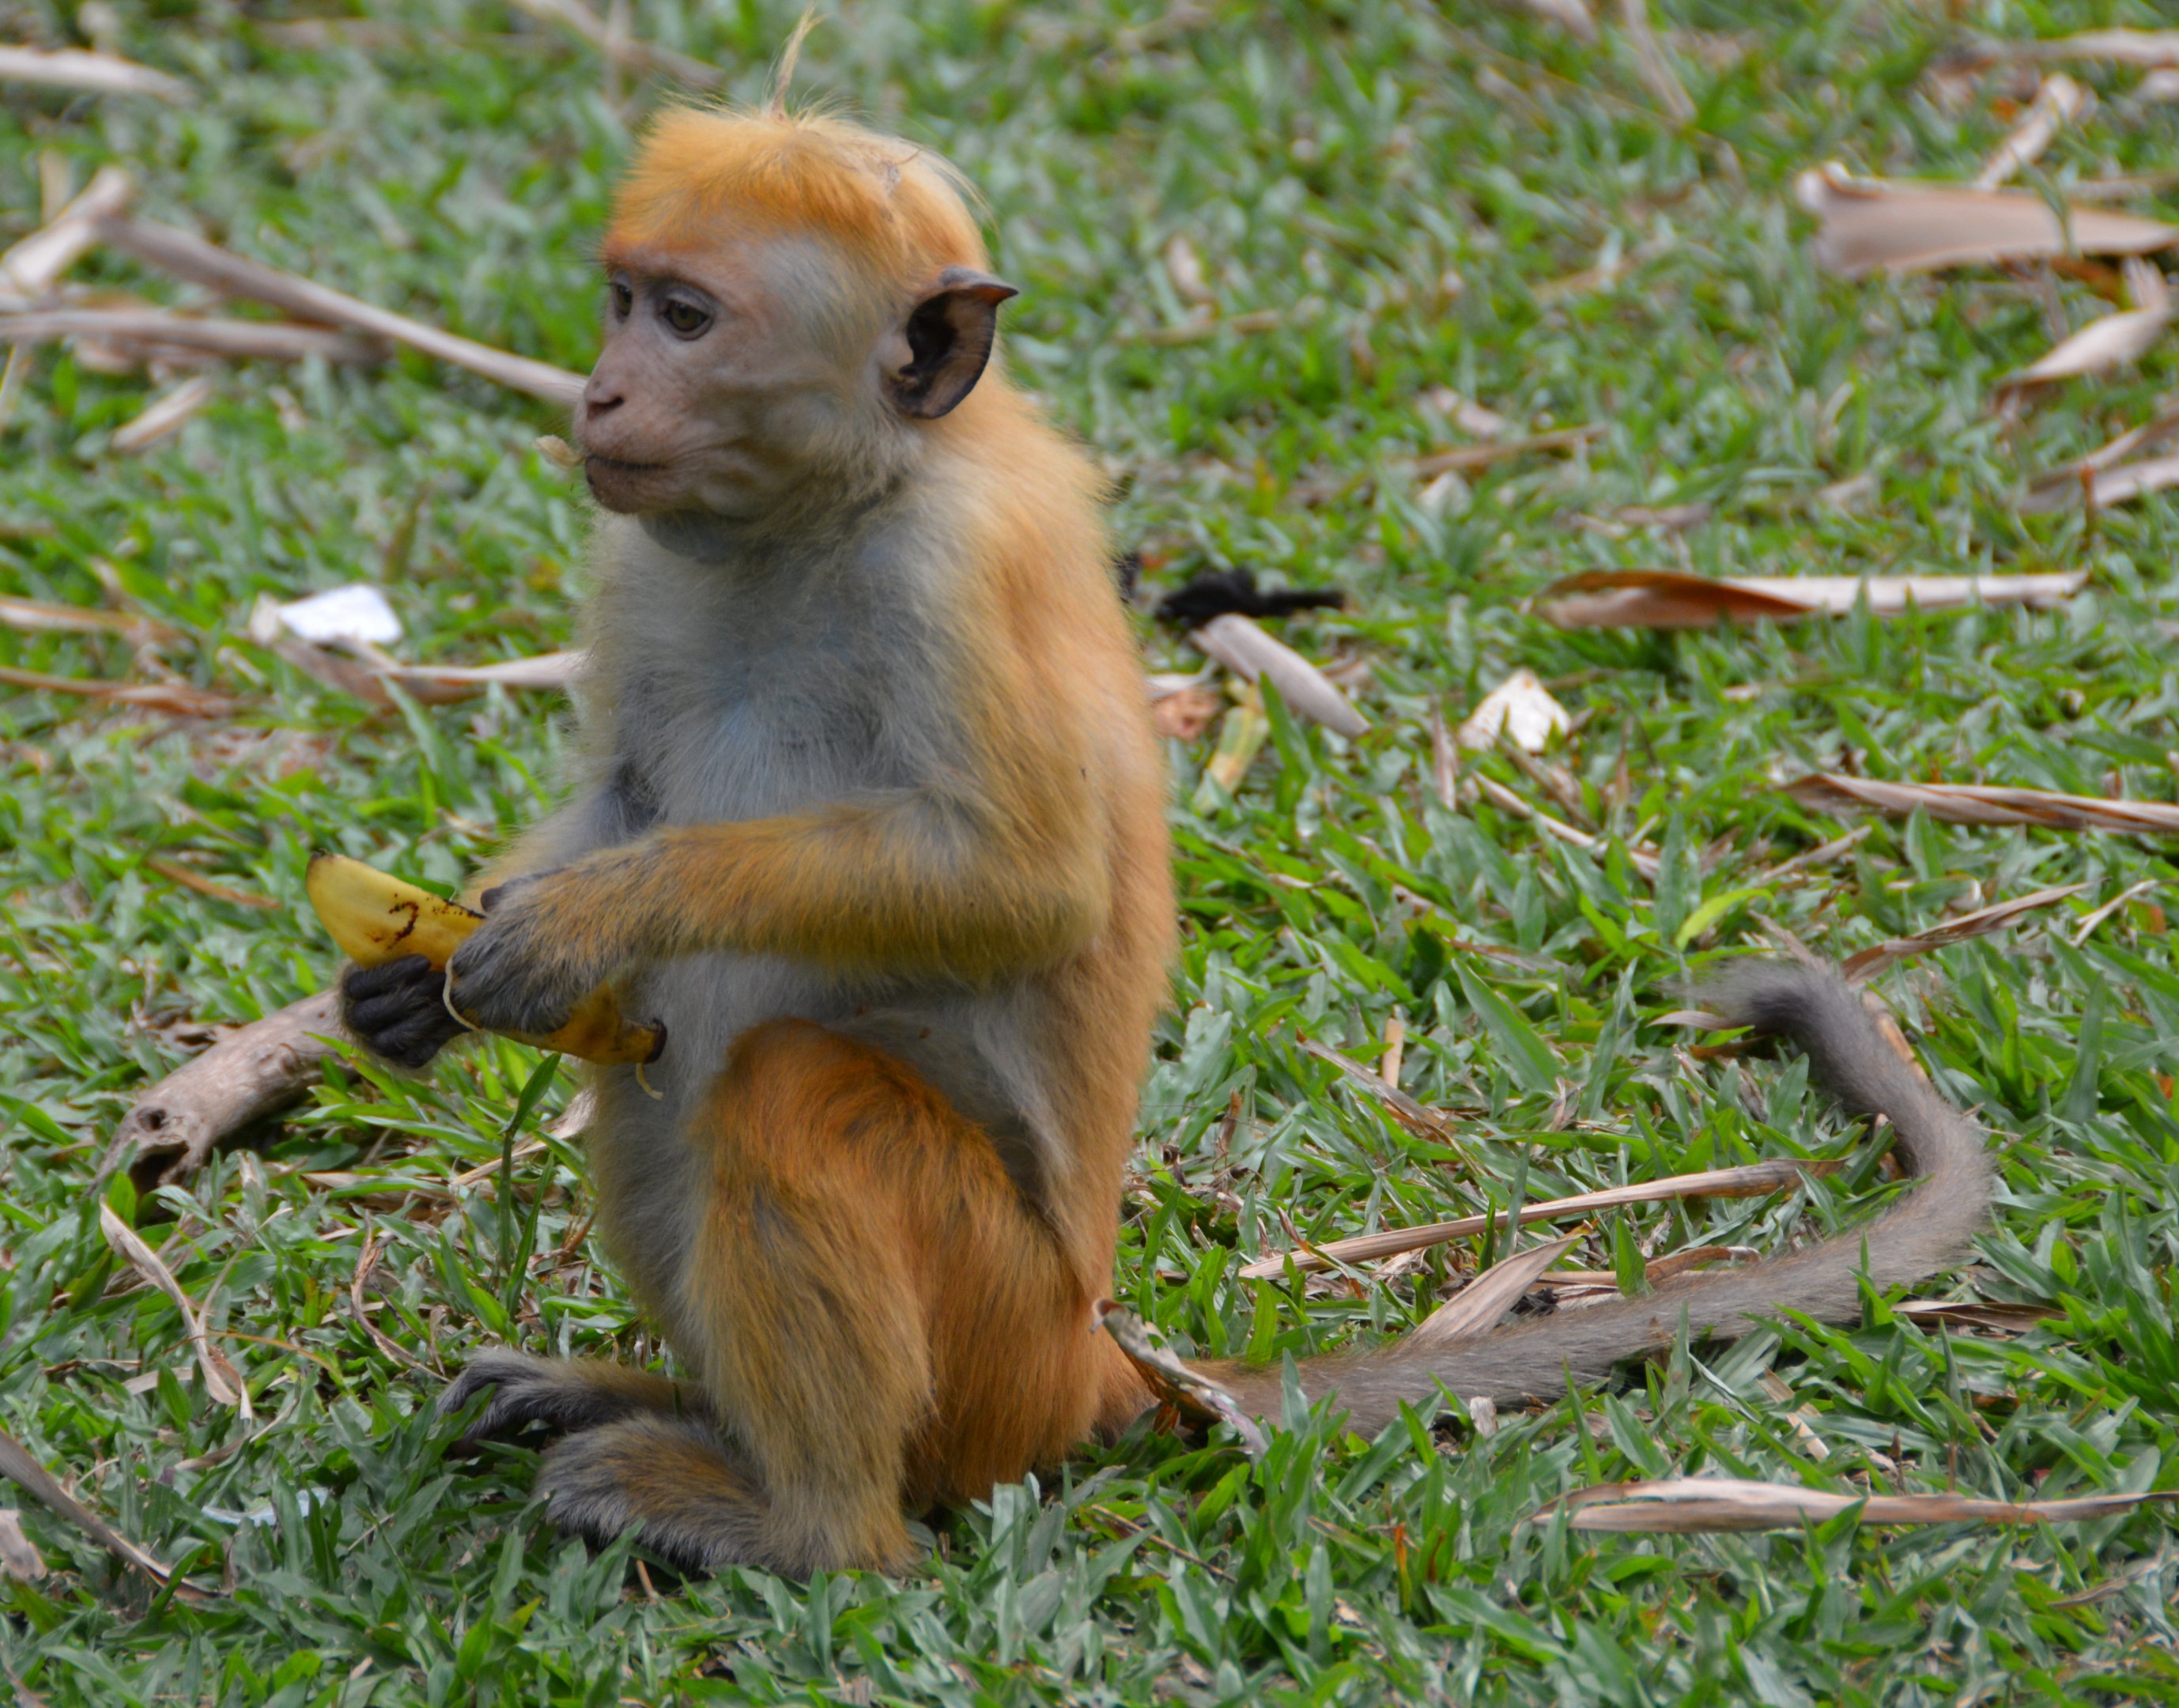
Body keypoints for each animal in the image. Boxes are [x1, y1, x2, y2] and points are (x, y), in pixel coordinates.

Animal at [339, 106, 1992, 1577]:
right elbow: (624, 791)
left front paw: (592, 919)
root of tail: (1094, 1356)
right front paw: (412, 988)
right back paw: (681, 1411)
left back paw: (808, 1526)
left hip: (994, 1329)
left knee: (788, 1092)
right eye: (624, 304)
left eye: (687, 319)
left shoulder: (955, 570)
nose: (603, 394)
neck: (828, 510)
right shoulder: (640, 551)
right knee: (661, 1083)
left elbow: (1023, 890)